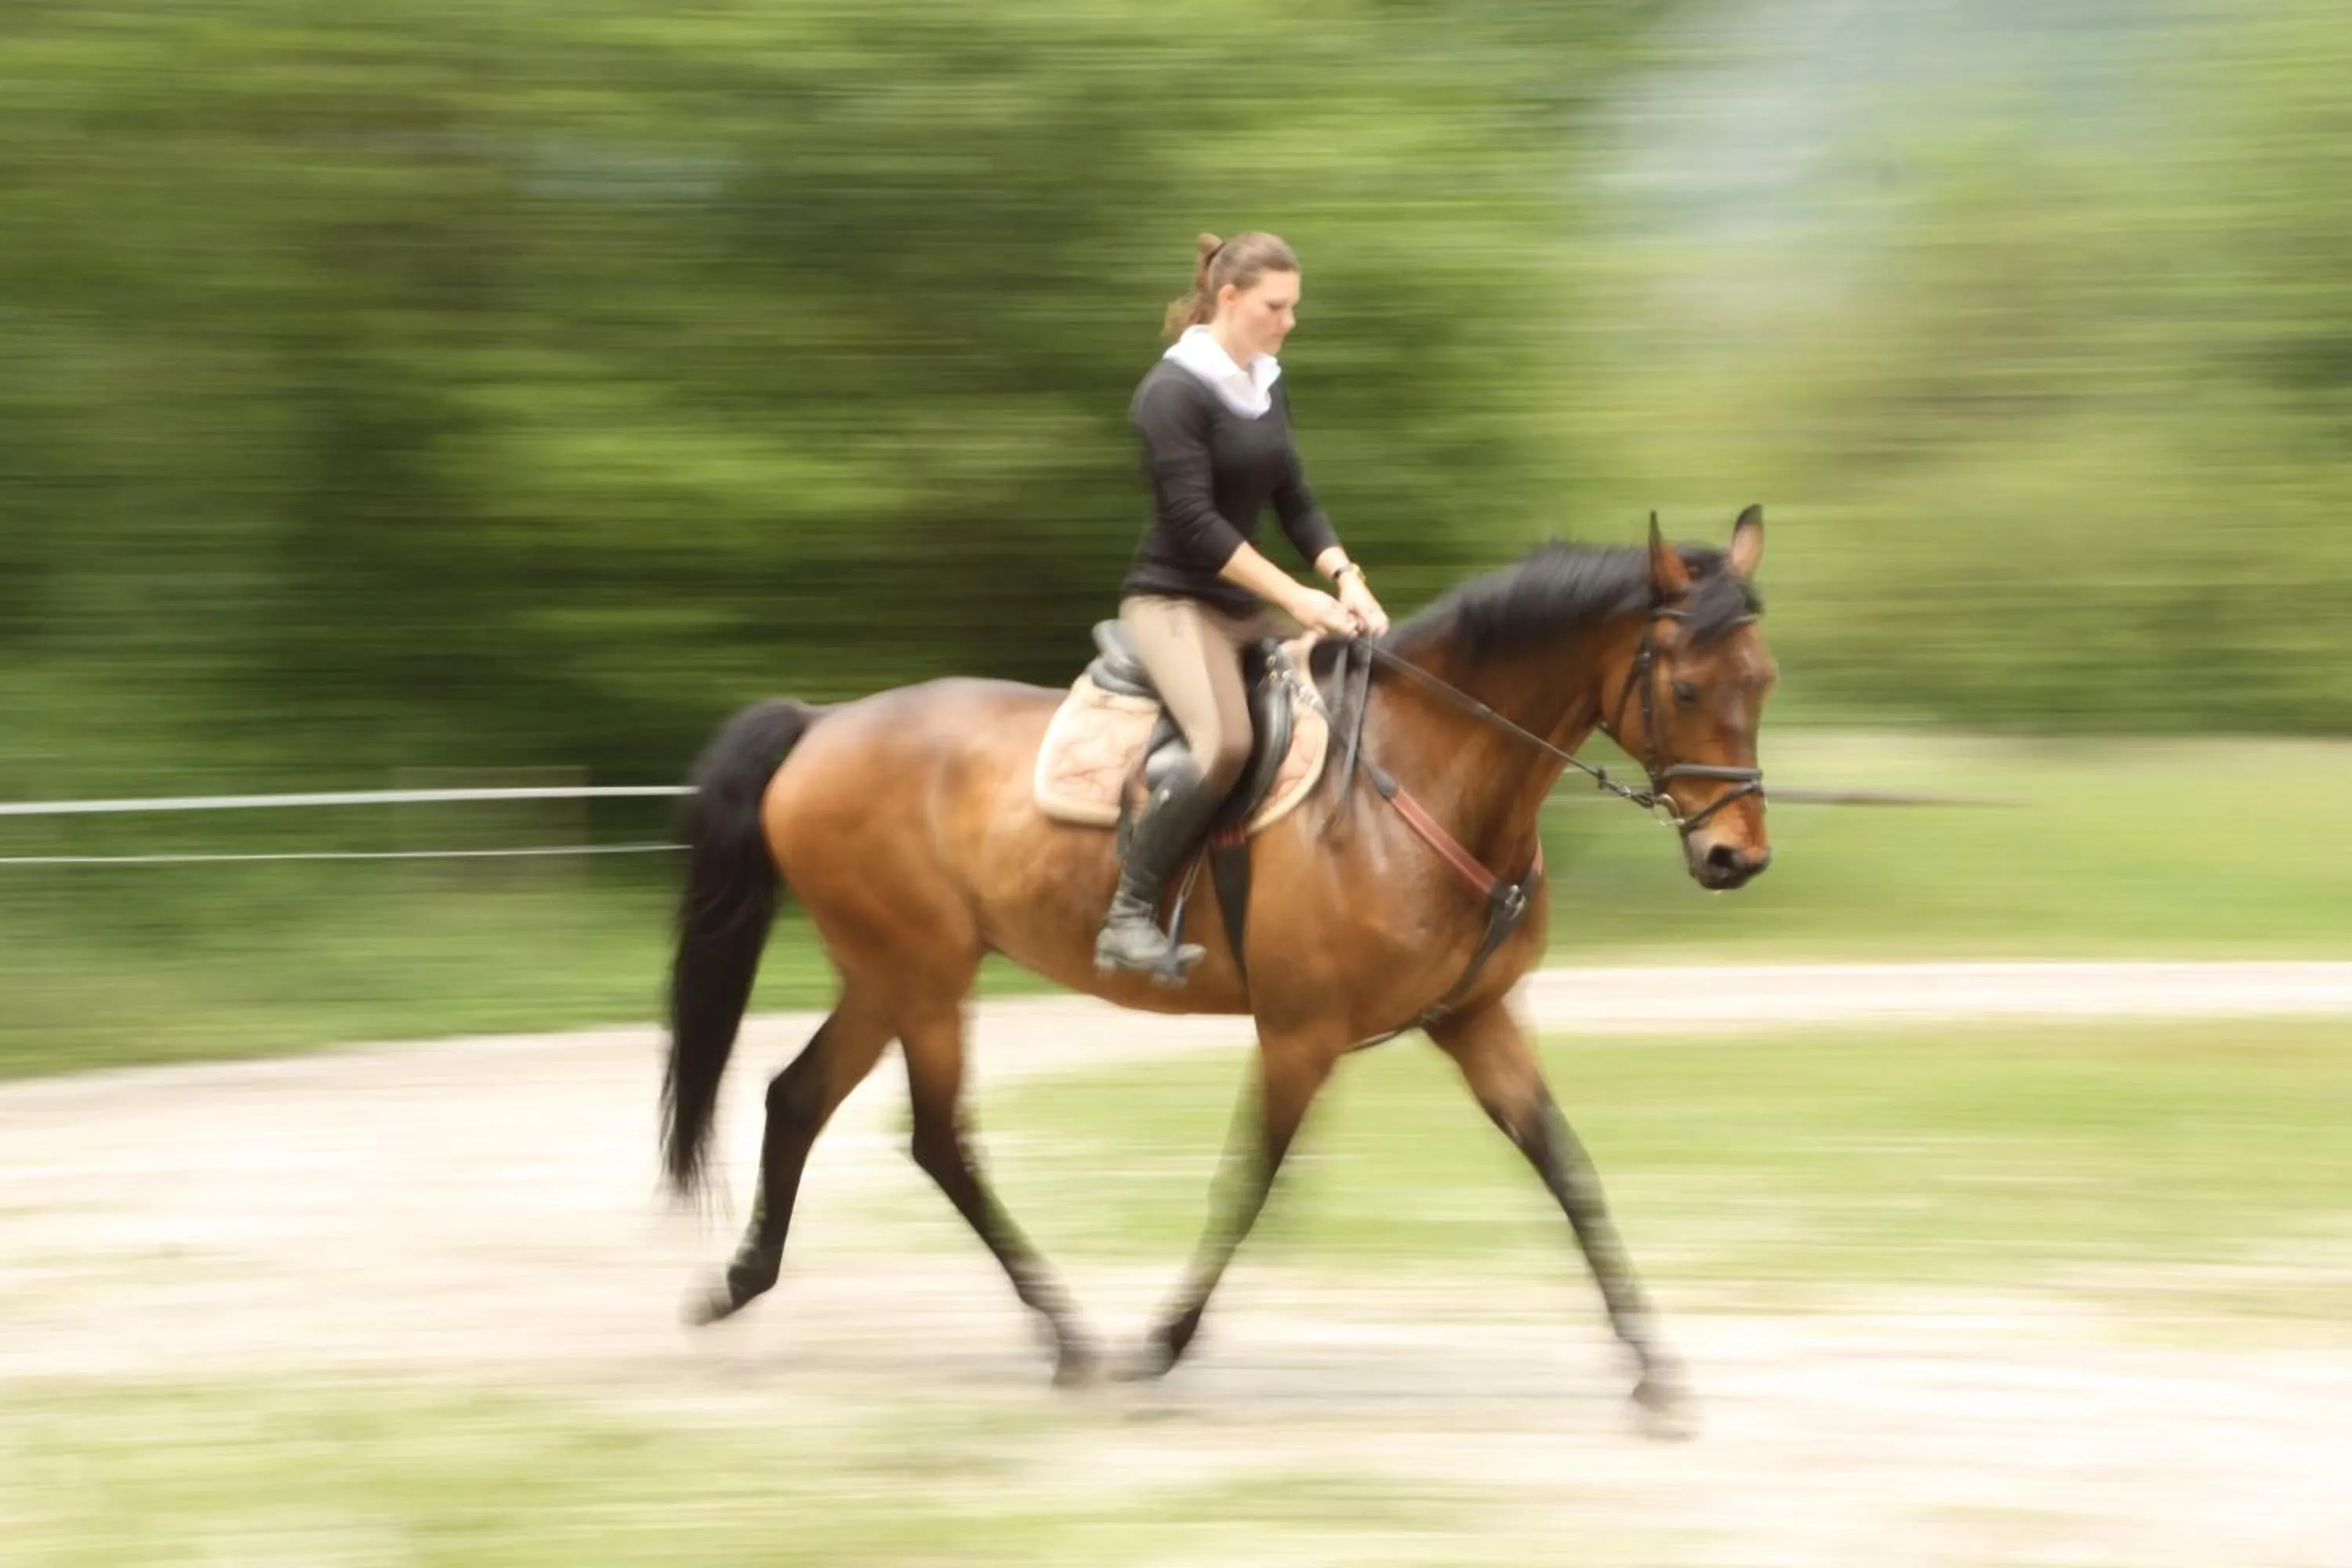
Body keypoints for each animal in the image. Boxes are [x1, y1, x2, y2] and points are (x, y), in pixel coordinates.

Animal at [658, 506, 1774, 1434]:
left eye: (1761, 681)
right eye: (1684, 686)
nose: (1737, 858)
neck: (1427, 775)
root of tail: (821, 723)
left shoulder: (1477, 1018)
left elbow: (1571, 1173)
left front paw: (1656, 1369)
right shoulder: (1300, 1034)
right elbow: (1249, 1185)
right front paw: (1161, 1344)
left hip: (888, 975)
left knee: (798, 1096)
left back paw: (740, 1283)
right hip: (922, 976)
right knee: (937, 1140)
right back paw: (1069, 1337)